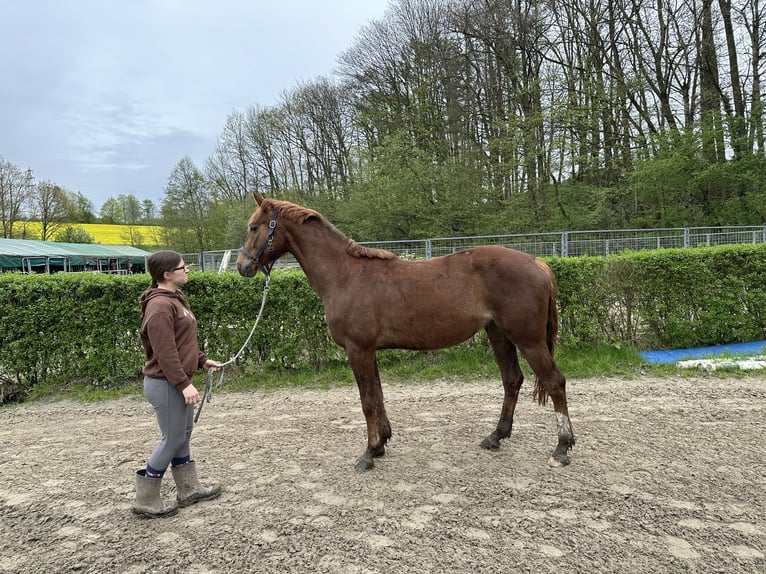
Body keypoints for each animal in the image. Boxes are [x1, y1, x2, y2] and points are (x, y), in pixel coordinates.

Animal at [240, 194, 576, 472]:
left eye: (254, 227)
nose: (243, 266)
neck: (346, 275)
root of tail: (536, 262)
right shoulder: (369, 351)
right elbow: (378, 395)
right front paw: (381, 444)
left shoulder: (357, 349)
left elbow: (367, 401)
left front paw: (368, 453)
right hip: (499, 335)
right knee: (512, 380)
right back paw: (496, 436)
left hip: (528, 339)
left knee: (555, 382)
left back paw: (561, 448)